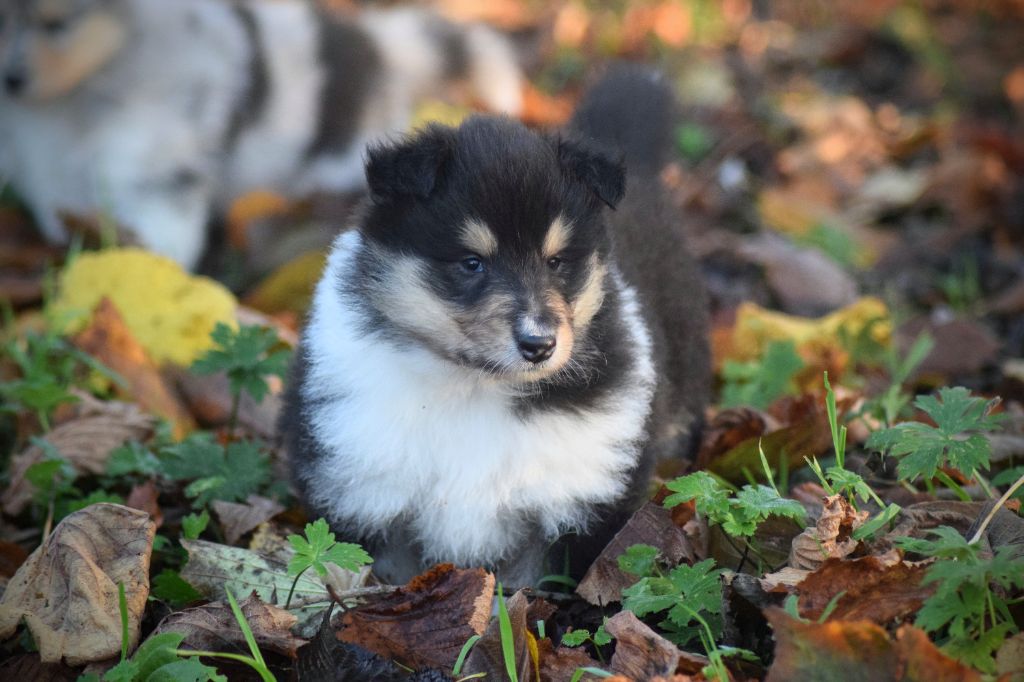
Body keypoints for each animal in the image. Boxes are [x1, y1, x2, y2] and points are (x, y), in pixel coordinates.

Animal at [0, 0, 524, 266]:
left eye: (57, 21)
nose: (12, 79)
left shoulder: (160, 143)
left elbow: (162, 219)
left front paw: (149, 262)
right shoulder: (42, 152)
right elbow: (55, 193)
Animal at [280, 65, 712, 585]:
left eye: (556, 262)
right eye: (471, 263)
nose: (539, 344)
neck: (473, 387)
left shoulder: (578, 498)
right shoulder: (365, 490)